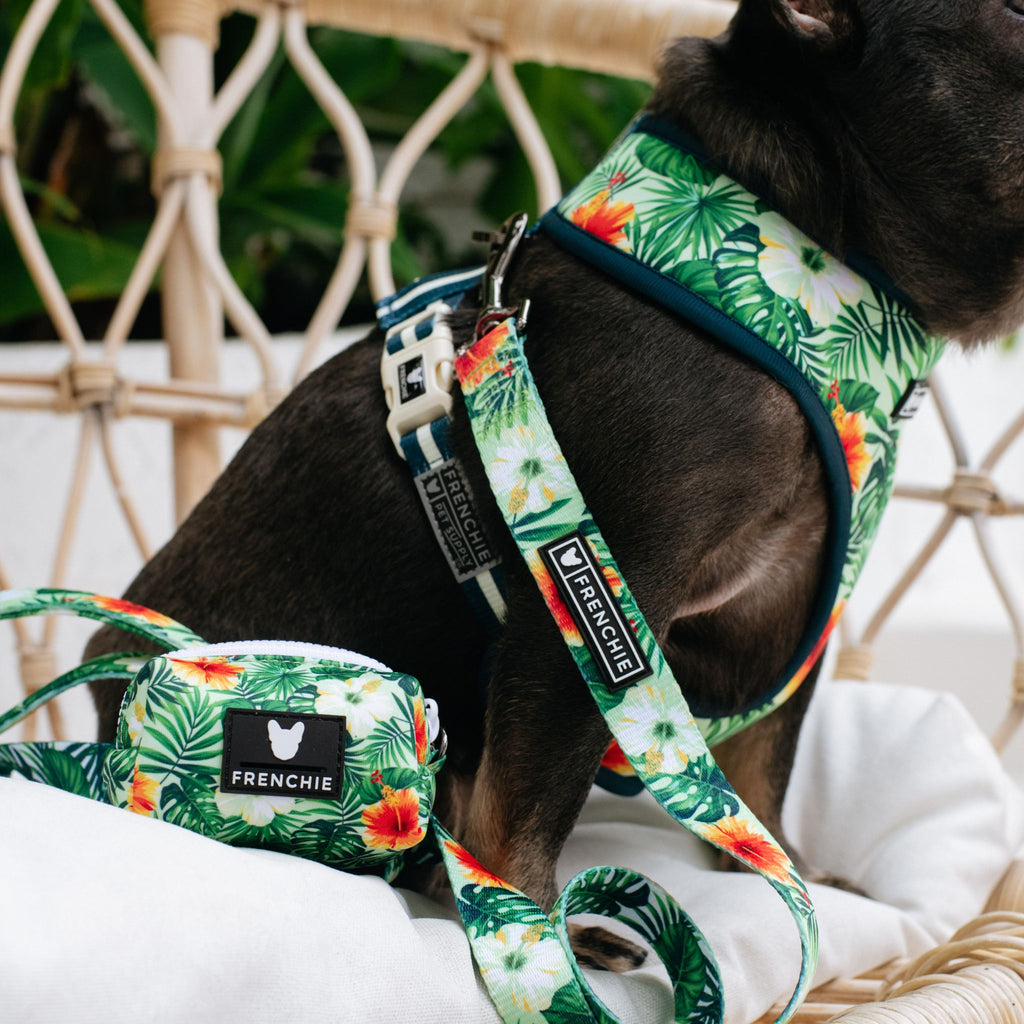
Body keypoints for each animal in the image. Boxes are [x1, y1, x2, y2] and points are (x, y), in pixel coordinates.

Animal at [86, 0, 1024, 960]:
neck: (803, 273)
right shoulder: (587, 607)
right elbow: (531, 810)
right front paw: (535, 939)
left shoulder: (781, 605)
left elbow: (763, 772)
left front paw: (787, 871)